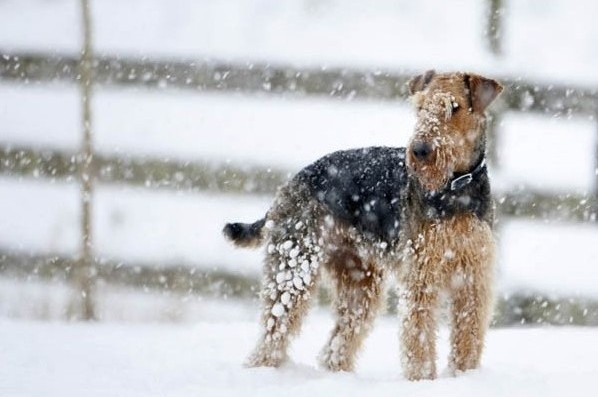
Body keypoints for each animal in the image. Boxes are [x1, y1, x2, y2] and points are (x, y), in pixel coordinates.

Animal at [225, 69, 506, 378]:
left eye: (454, 107)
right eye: (420, 107)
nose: (420, 150)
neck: (456, 189)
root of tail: (290, 183)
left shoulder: (473, 279)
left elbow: (468, 336)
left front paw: (464, 375)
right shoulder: (420, 276)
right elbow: (418, 335)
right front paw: (422, 379)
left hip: (360, 281)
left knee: (336, 344)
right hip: (294, 267)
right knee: (274, 331)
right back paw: (262, 368)